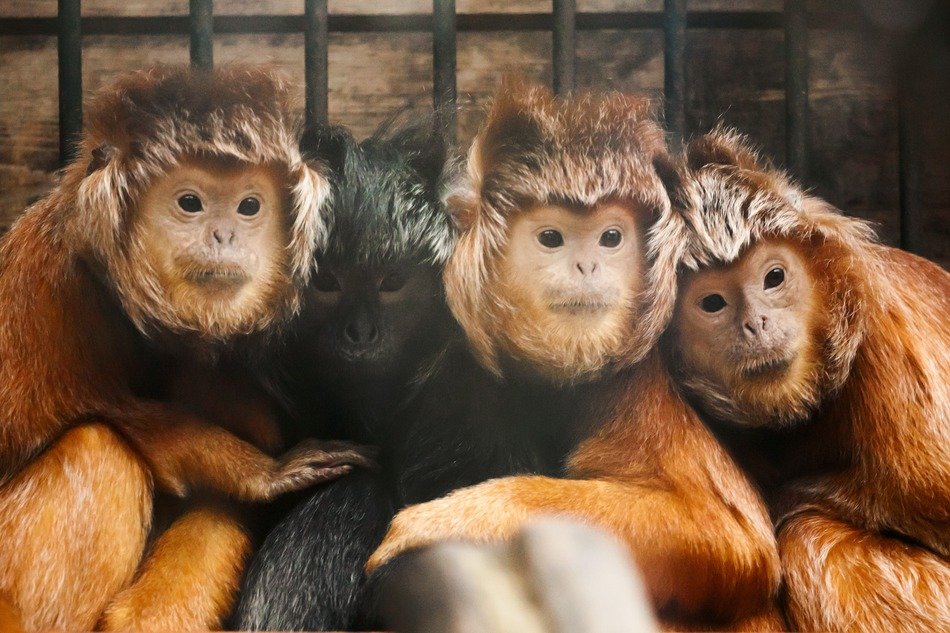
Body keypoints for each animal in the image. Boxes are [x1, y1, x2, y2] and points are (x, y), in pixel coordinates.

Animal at [0, 65, 372, 632]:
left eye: (248, 206)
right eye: (190, 203)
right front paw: (260, 472)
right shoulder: (47, 281)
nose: (224, 236)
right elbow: (124, 418)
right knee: (99, 448)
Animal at [360, 79, 784, 628]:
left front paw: (452, 519)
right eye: (551, 237)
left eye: (610, 237)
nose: (586, 266)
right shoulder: (456, 369)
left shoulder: (638, 379)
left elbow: (727, 533)